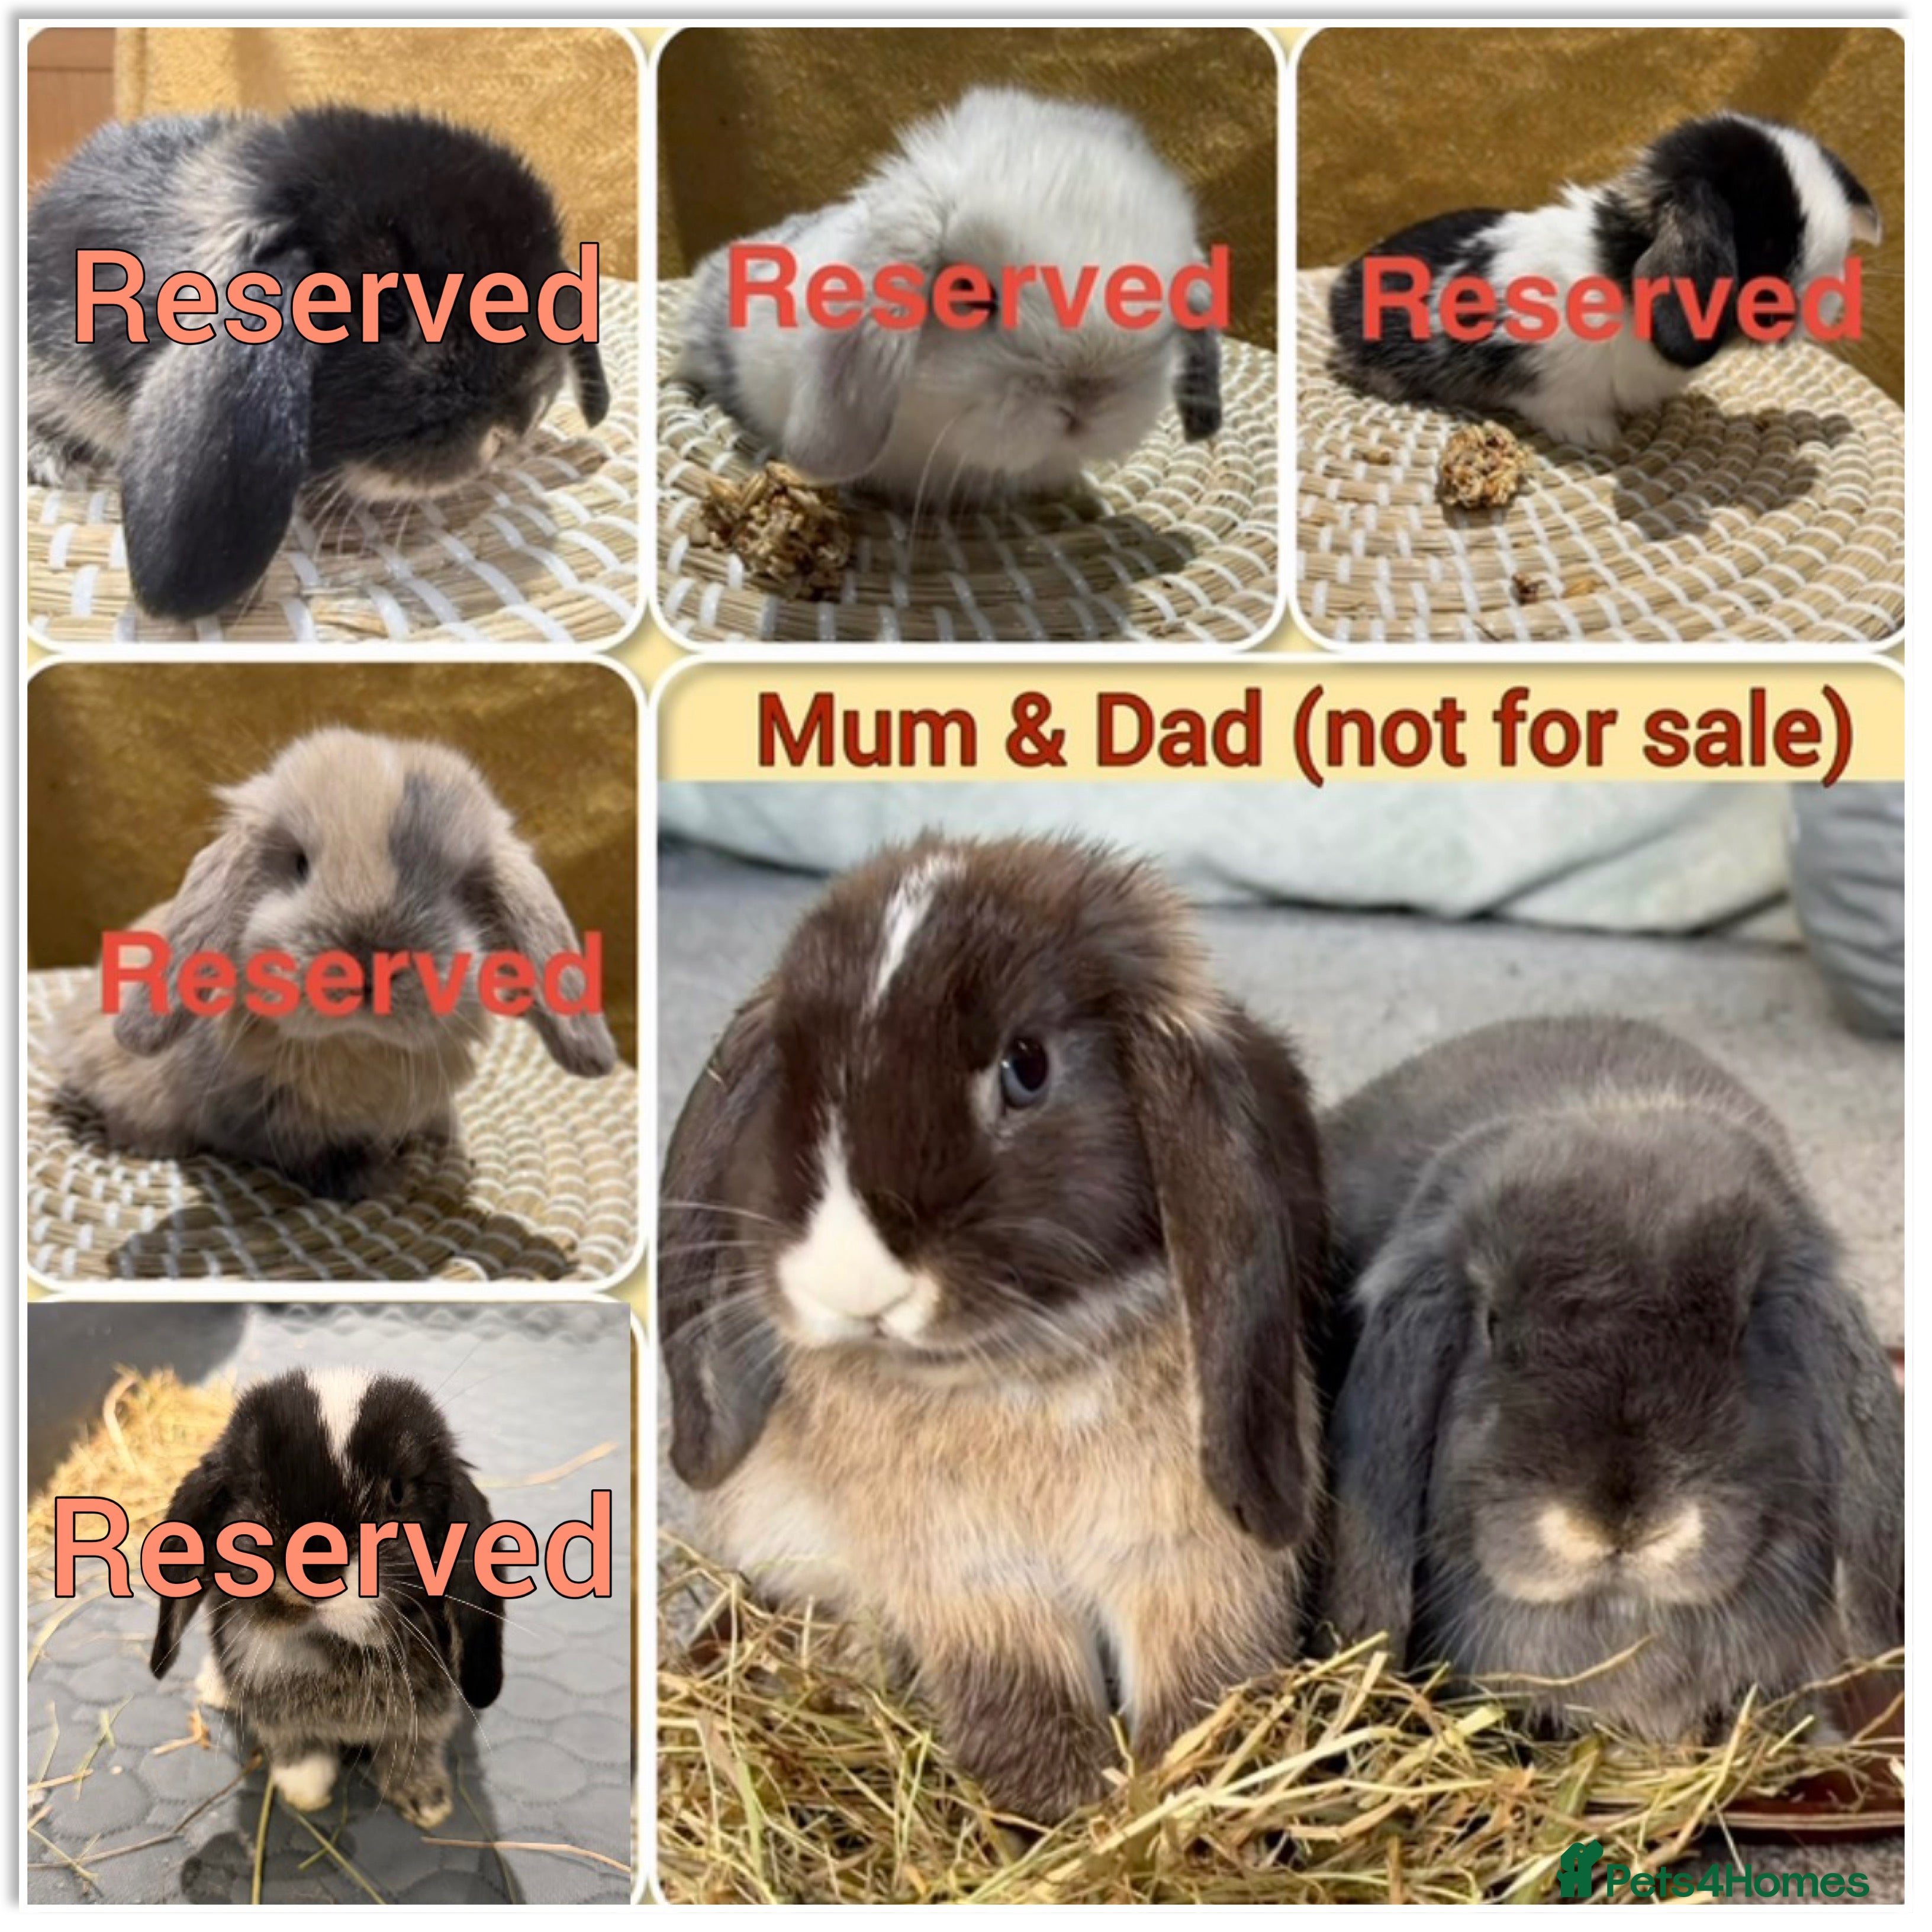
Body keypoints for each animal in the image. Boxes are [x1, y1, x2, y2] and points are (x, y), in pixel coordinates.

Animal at [51, 727, 618, 1201]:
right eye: (300, 864)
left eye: (460, 890)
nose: (366, 965)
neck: (358, 1045)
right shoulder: (263, 1121)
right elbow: (319, 1158)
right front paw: (384, 1180)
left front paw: (444, 1138)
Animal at [149, 1367, 502, 1828]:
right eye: (257, 1485)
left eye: (398, 1492)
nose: (316, 1568)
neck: (333, 1647)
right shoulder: (277, 1716)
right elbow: (294, 1746)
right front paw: (306, 1790)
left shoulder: (425, 1719)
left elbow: (413, 1749)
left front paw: (428, 1802)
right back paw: (215, 1687)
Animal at [661, 835, 1328, 1821]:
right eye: (793, 1072)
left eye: (1028, 1067)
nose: (852, 1280)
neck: (1019, 1371)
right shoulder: (976, 1587)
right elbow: (1023, 1701)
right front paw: (1064, 1813)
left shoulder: (1193, 1566)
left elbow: (1200, 1688)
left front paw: (1175, 1802)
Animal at [1328, 114, 1882, 450]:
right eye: (1769, 243)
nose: (1833, 303)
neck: (1619, 267)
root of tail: (1342, 283)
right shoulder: (1546, 375)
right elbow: (1559, 405)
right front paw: (1597, 437)